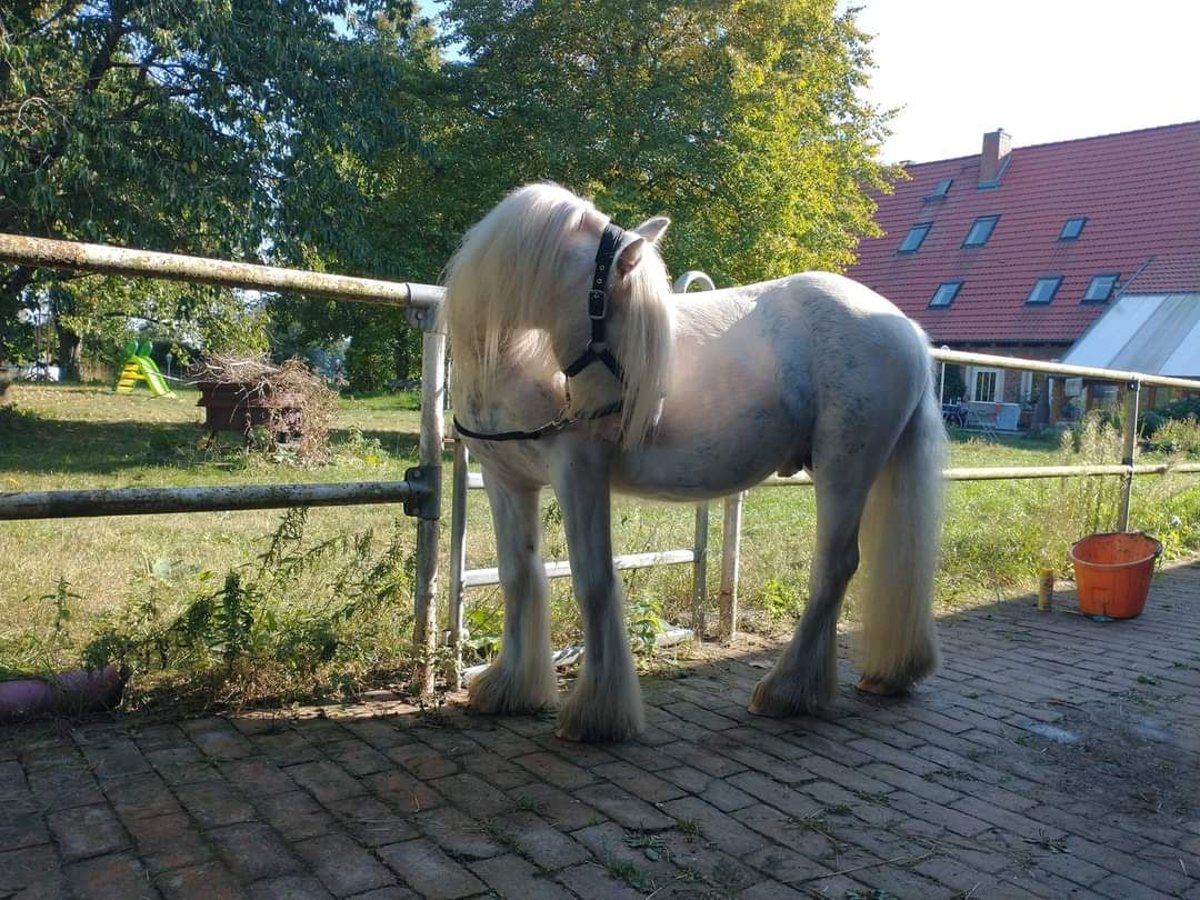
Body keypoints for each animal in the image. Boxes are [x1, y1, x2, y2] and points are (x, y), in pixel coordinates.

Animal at [441, 184, 945, 748]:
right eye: (618, 312)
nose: (624, 418)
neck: (515, 360)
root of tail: (906, 329)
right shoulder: (508, 483)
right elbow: (518, 576)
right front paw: (511, 687)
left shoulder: (579, 473)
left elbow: (593, 580)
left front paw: (597, 714)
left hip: (846, 470)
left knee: (835, 566)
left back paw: (786, 690)